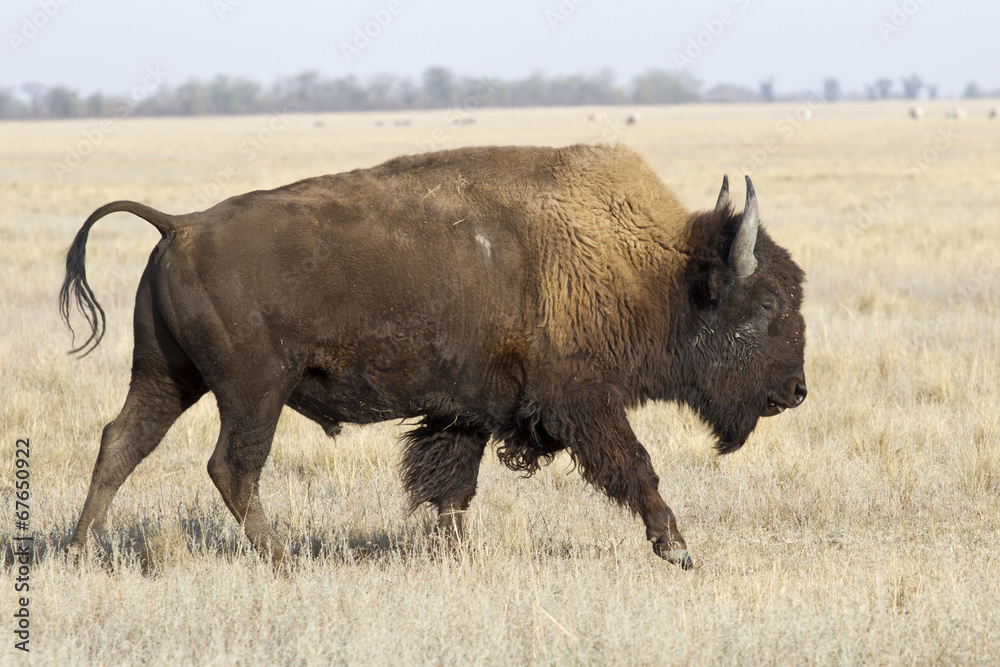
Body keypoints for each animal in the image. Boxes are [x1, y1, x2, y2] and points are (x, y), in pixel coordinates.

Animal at [60, 145, 804, 568]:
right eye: (766, 305)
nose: (796, 390)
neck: (646, 267)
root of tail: (181, 226)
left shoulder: (468, 412)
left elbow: (452, 487)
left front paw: (452, 556)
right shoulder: (583, 403)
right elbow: (636, 466)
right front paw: (678, 548)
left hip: (167, 376)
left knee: (121, 442)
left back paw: (78, 552)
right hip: (253, 391)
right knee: (231, 467)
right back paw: (282, 561)